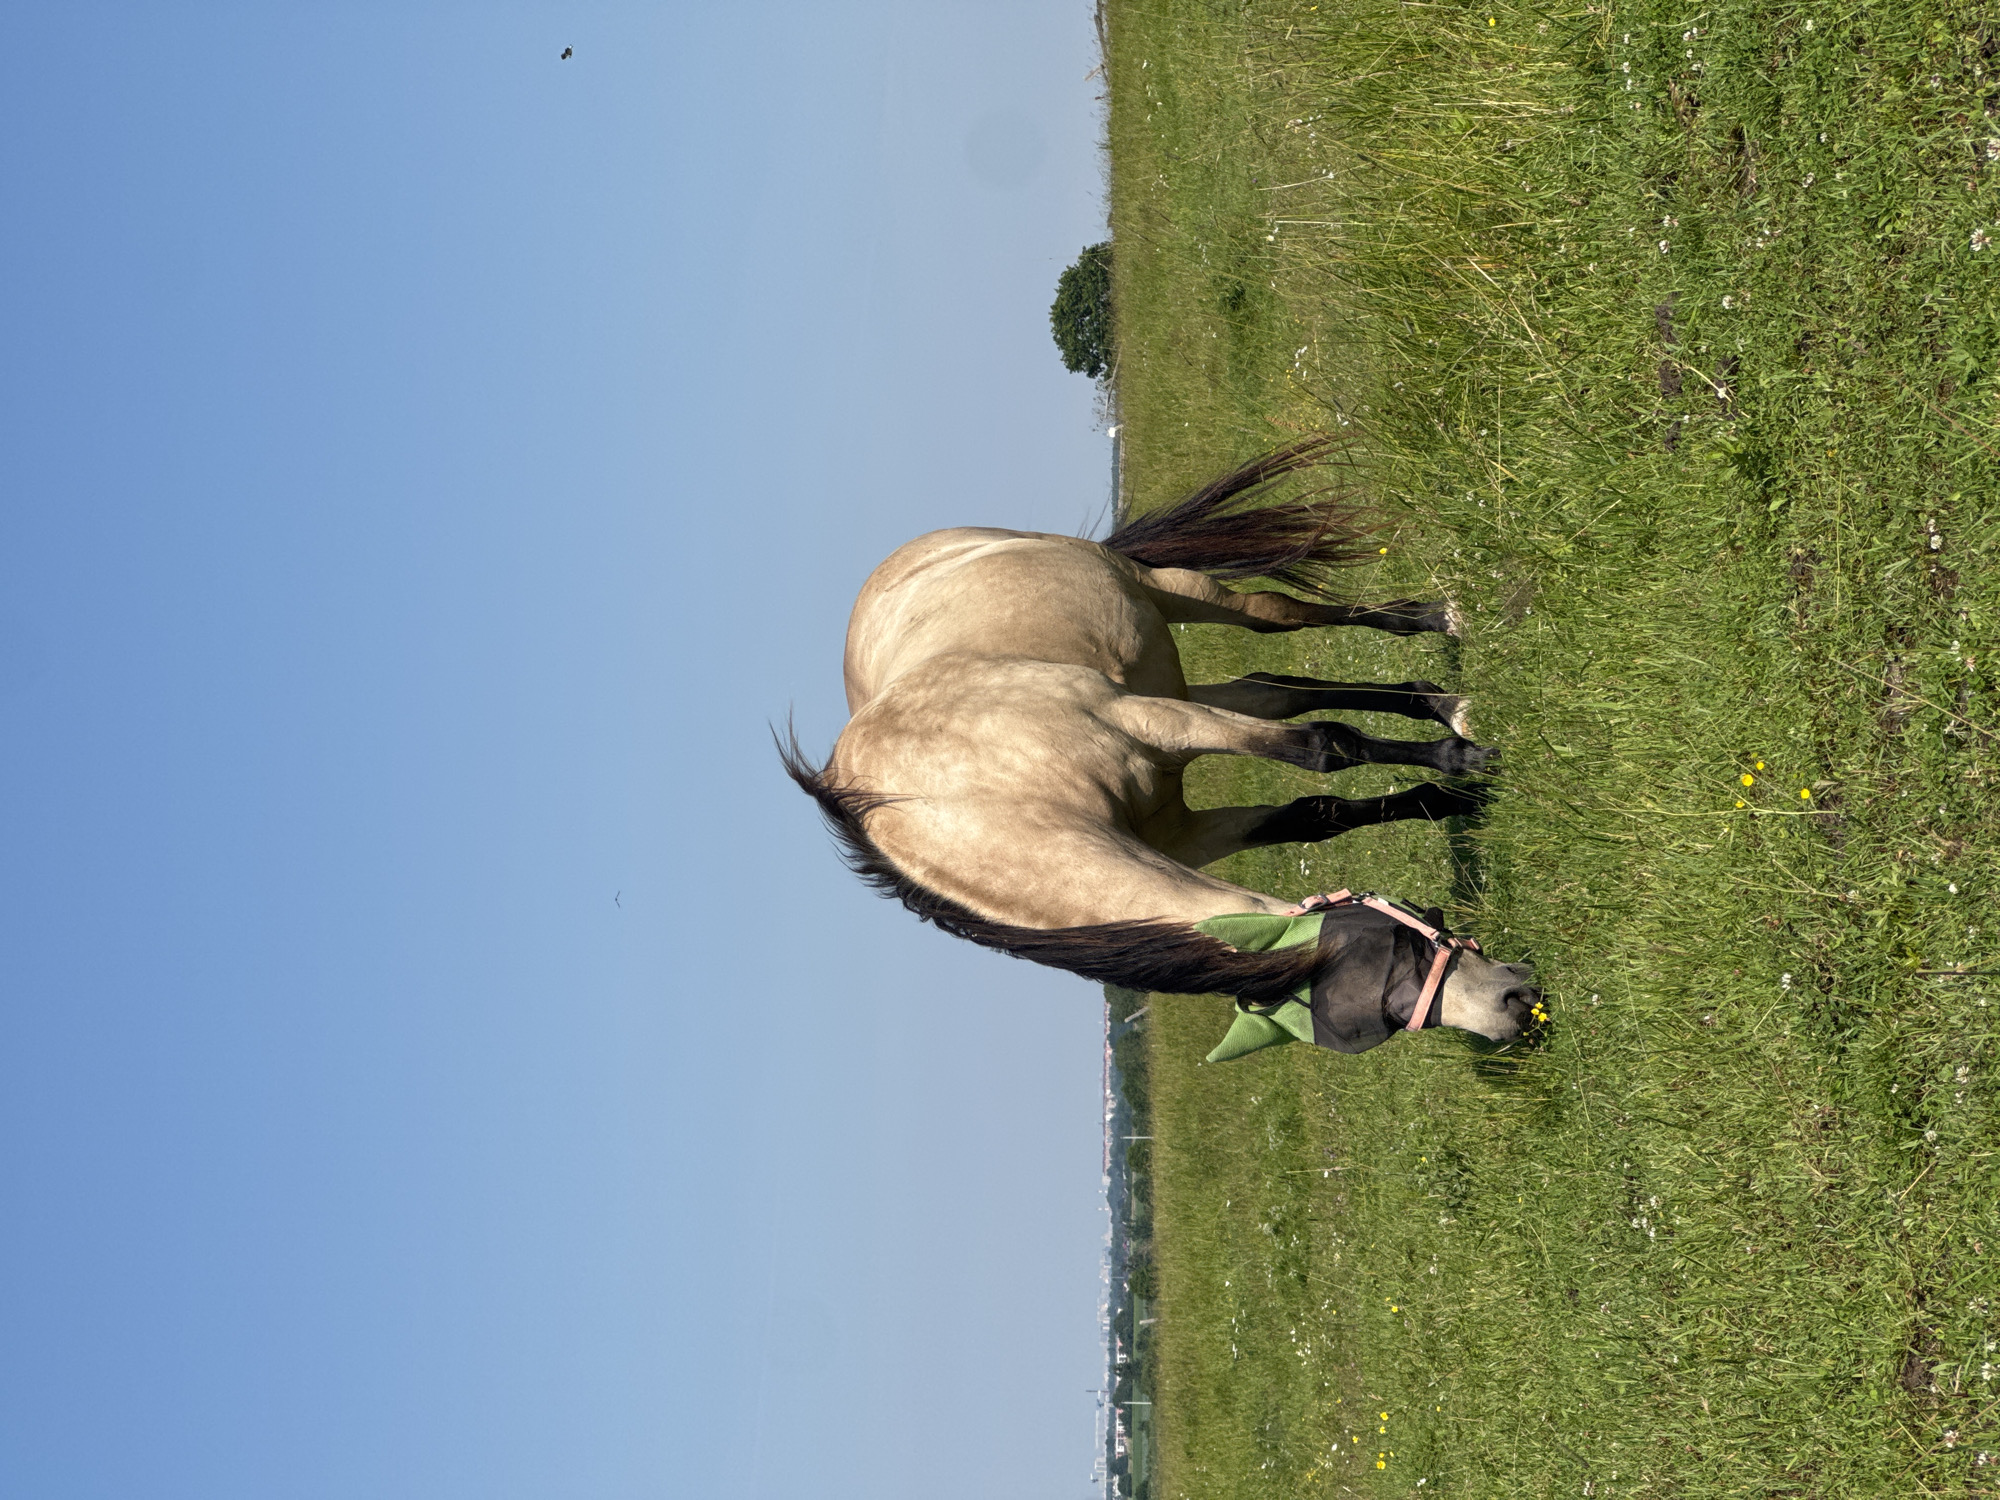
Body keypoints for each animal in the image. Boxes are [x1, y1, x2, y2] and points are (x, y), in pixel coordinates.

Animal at [783, 438, 1539, 1055]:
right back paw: (1439, 697)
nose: (1515, 1006)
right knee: (1276, 687)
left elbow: (1325, 747)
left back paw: (1437, 639)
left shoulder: (1149, 719)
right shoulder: (1183, 834)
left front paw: (1466, 766)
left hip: (1170, 596)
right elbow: (1313, 811)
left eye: (1398, 951)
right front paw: (1449, 794)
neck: (975, 800)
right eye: (1388, 992)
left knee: (1280, 618)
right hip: (1175, 675)